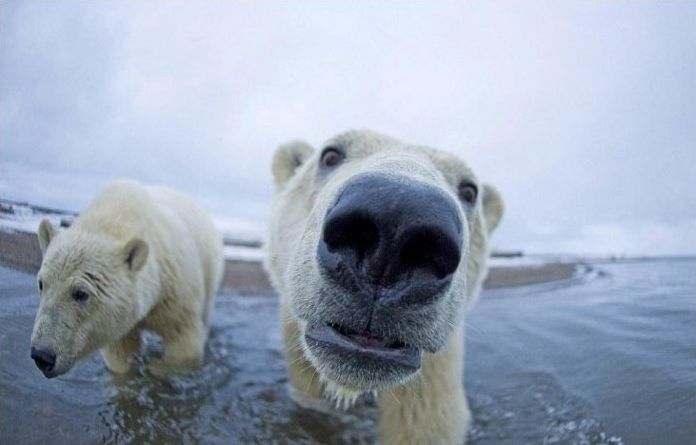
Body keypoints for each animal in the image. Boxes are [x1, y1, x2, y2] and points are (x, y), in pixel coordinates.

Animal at [30, 180, 223, 378]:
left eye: (81, 293)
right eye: (41, 284)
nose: (42, 356)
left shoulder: (175, 292)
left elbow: (184, 342)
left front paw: (154, 368)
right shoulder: (118, 321)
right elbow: (121, 357)